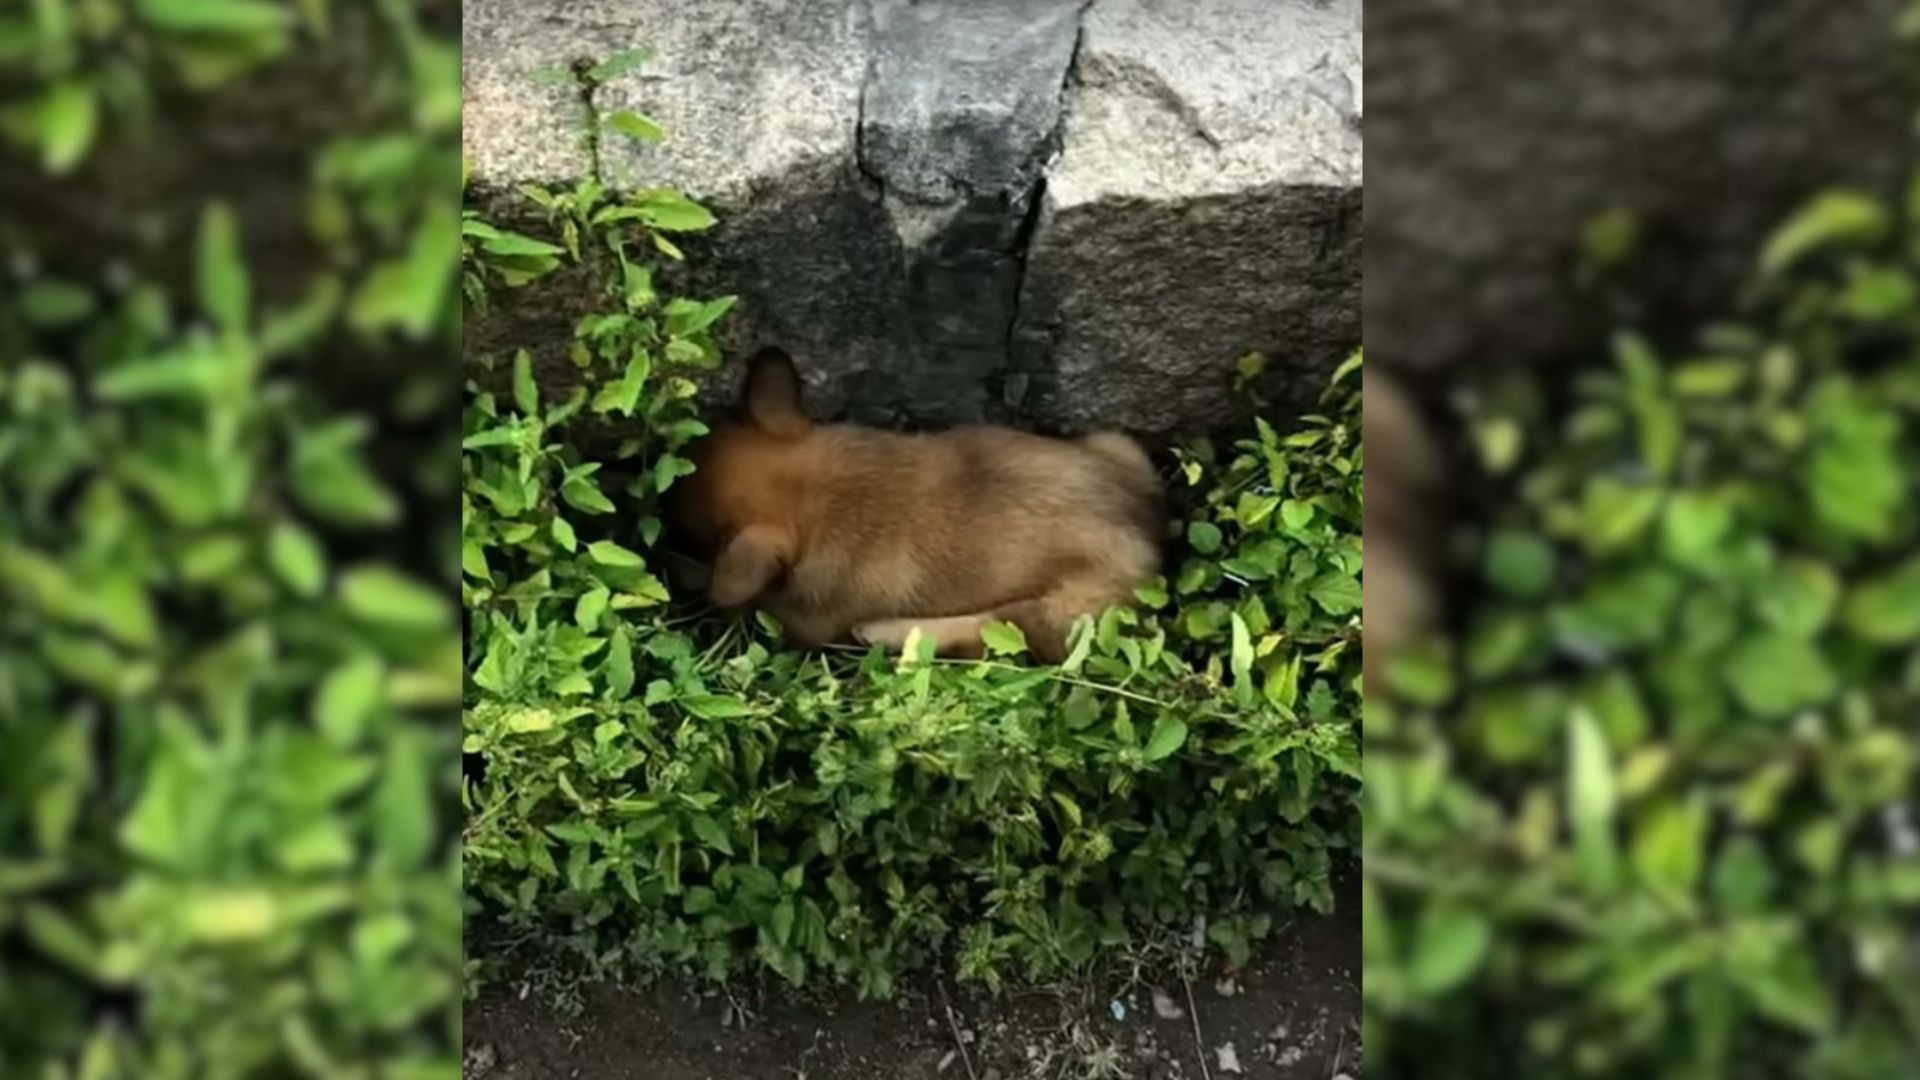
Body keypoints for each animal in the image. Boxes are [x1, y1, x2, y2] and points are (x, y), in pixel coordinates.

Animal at [668, 349, 1159, 661]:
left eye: (691, 535)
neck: (820, 493)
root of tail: (1152, 539)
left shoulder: (799, 619)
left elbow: (733, 591)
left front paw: (690, 574)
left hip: (1064, 612)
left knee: (992, 626)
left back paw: (887, 632)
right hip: (1115, 443)